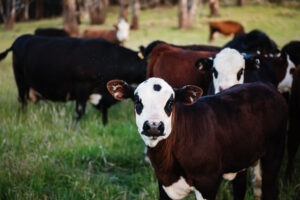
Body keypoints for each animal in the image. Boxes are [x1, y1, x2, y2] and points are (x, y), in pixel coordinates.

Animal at [0, 34, 146, 125]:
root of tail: (20, 39)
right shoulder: (82, 88)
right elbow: (79, 111)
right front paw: (77, 129)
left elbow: (103, 111)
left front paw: (105, 125)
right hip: (21, 82)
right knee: (22, 102)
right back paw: (22, 118)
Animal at [106, 77, 288, 199]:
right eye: (137, 101)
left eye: (170, 103)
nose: (153, 126)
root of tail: (265, 85)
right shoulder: (164, 183)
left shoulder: (208, 182)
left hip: (274, 153)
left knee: (270, 188)